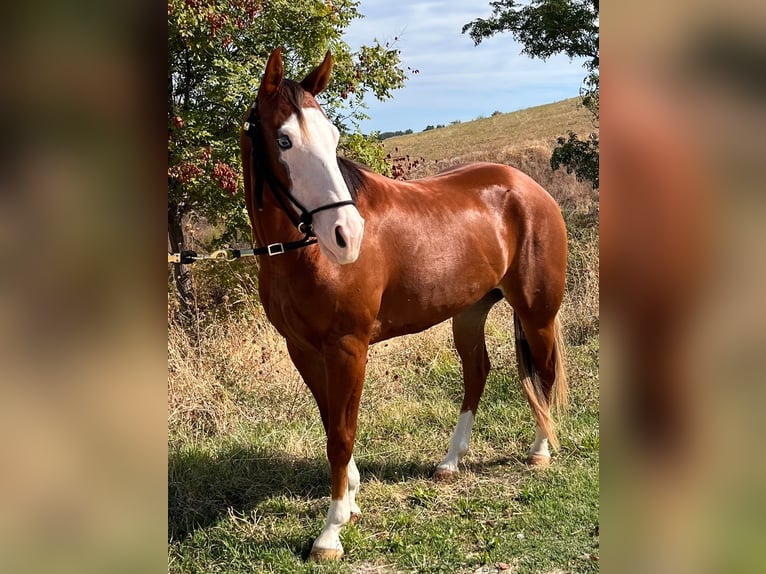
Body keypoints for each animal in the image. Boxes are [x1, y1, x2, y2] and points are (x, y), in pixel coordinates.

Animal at [239, 47, 569, 561]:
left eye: (332, 136)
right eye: (284, 140)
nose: (347, 235)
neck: (302, 253)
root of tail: (530, 189)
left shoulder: (348, 348)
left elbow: (341, 434)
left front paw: (331, 532)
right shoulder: (304, 350)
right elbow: (331, 422)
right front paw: (352, 499)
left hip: (537, 313)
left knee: (545, 373)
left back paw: (539, 451)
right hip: (470, 312)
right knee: (477, 373)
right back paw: (450, 462)